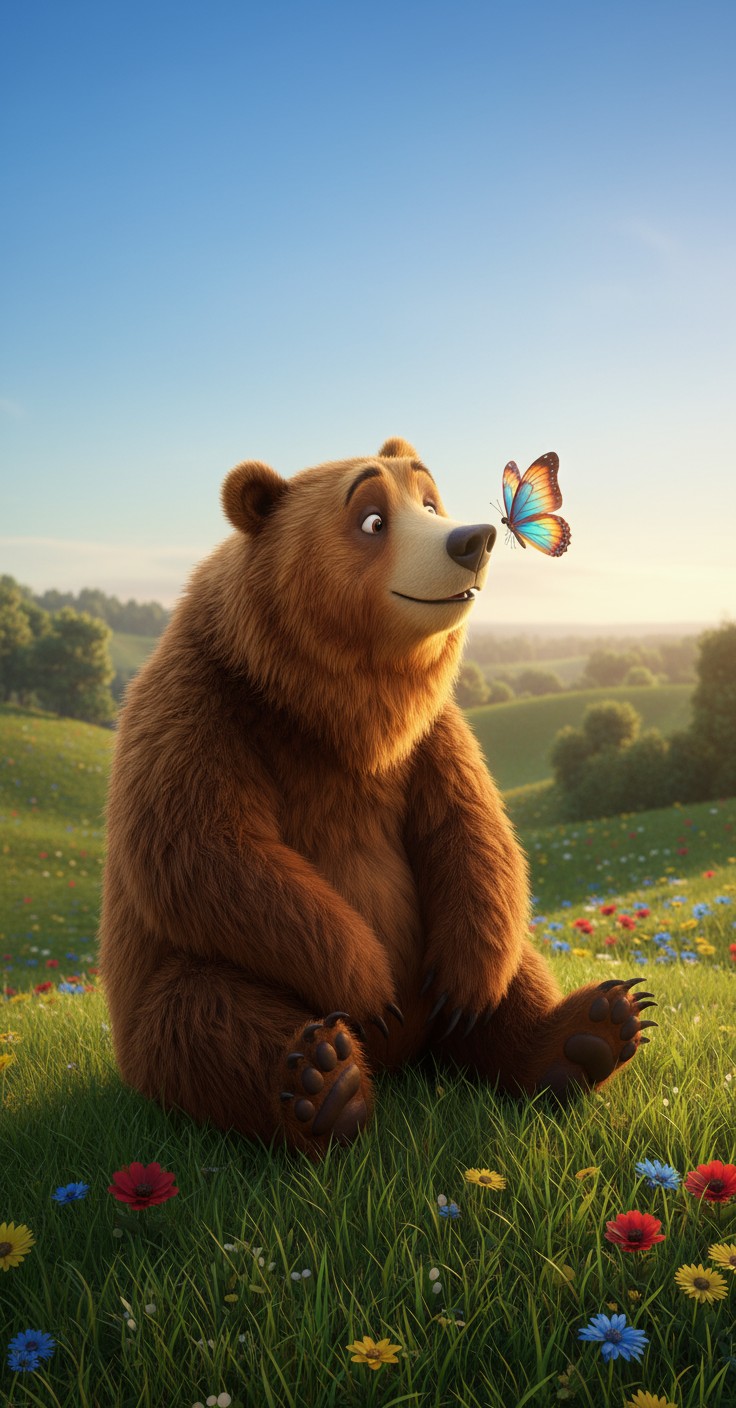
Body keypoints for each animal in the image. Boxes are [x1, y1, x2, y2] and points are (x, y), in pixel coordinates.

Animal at [98, 437, 656, 1160]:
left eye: (429, 502)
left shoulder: (431, 736)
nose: (473, 538)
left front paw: (468, 988)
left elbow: (471, 831)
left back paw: (589, 1031)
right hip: (172, 986)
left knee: (513, 967)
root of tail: (403, 1061)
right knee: (203, 1019)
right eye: (371, 519)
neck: (335, 713)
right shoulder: (199, 703)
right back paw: (323, 1085)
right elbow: (207, 849)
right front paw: (369, 984)